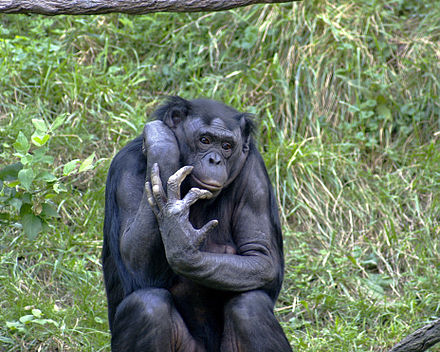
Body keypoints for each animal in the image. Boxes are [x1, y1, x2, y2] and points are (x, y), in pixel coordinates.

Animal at [101, 97, 290, 352]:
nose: (215, 159)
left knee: (250, 306)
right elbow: (136, 265)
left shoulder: (255, 174)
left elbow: (262, 257)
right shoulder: (127, 168)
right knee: (147, 306)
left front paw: (180, 239)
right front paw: (161, 143)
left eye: (227, 146)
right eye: (205, 140)